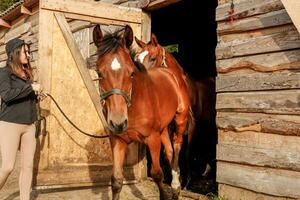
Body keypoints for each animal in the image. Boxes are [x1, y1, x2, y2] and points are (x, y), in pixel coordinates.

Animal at [93, 25, 190, 200]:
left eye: (131, 72)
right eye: (99, 73)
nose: (118, 123)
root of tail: (172, 74)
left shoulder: (152, 138)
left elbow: (157, 174)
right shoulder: (117, 140)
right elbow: (116, 180)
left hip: (180, 120)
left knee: (177, 145)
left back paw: (175, 186)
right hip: (163, 128)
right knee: (170, 151)